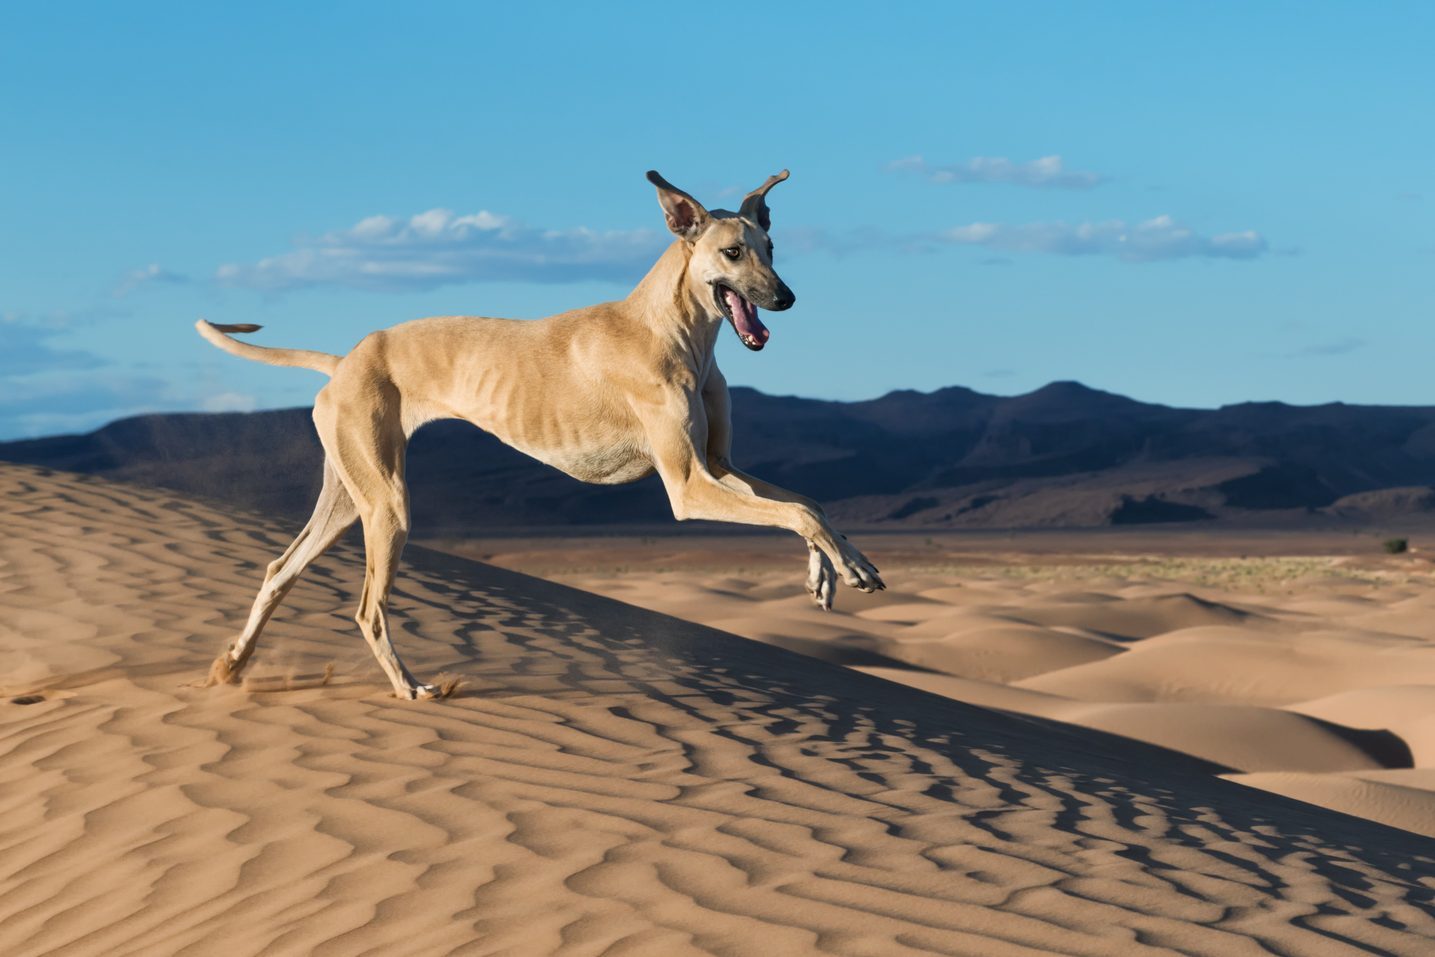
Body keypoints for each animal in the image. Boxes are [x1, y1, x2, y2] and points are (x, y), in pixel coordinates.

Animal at [196, 168, 878, 700]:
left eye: (771, 245)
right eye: (734, 253)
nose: (785, 298)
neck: (671, 327)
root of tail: (344, 361)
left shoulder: (719, 465)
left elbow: (807, 503)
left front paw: (836, 571)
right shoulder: (688, 486)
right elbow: (798, 512)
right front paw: (844, 569)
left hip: (348, 494)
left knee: (278, 570)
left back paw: (231, 665)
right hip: (385, 505)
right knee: (367, 608)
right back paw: (410, 687)